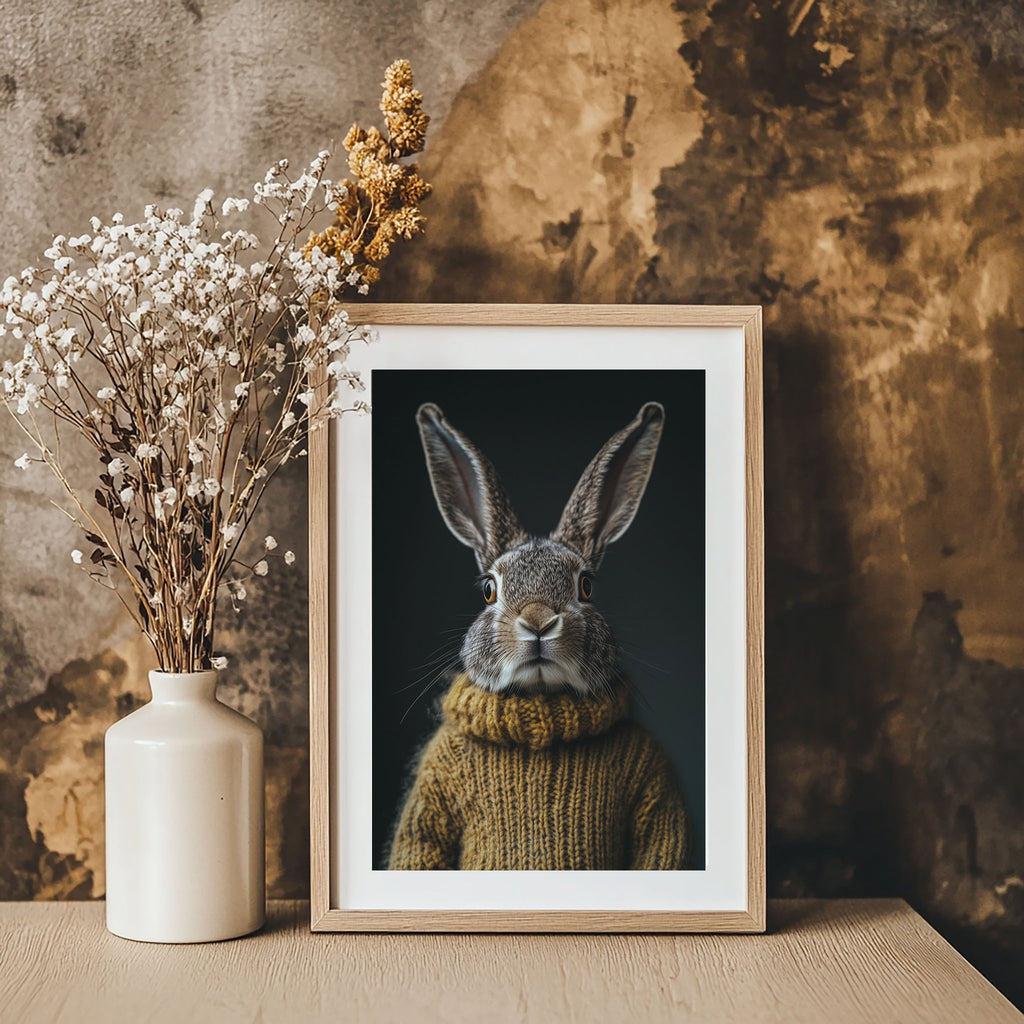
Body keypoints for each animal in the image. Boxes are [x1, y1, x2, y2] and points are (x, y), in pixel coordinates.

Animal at [387, 401, 691, 871]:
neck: (540, 717)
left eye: (586, 586)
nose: (538, 622)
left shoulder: (648, 772)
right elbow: (422, 843)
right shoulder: (437, 773)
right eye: (489, 589)